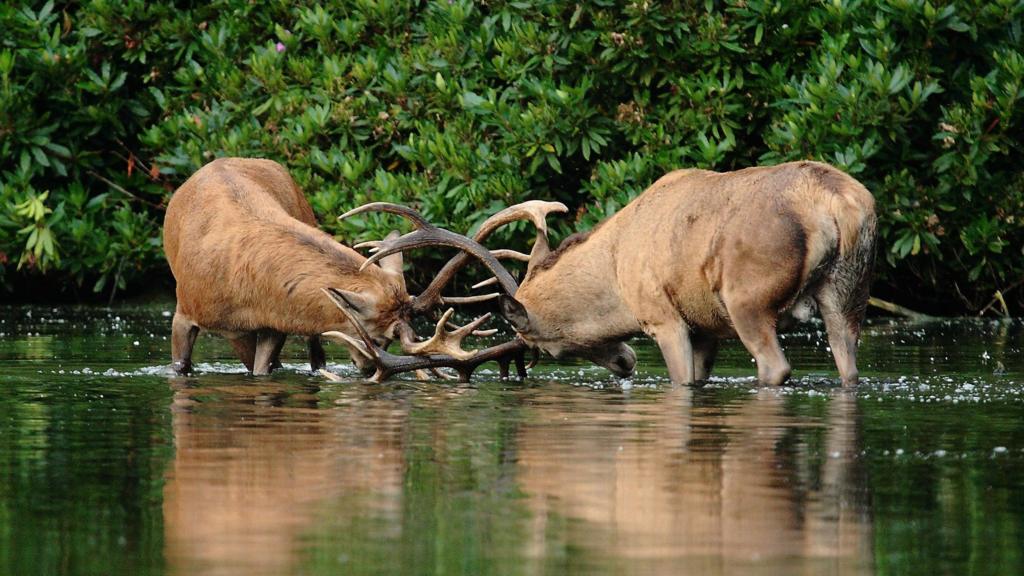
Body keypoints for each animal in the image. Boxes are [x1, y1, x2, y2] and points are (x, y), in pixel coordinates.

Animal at [163, 155, 532, 377]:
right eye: (378, 338)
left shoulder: (272, 327)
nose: (368, 369)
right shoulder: (185, 310)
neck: (247, 297)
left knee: (314, 353)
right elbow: (181, 365)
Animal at [348, 159, 876, 385]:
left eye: (546, 348)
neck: (615, 272)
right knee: (849, 366)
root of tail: (836, 206)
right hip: (850, 294)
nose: (626, 361)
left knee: (775, 366)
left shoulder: (661, 314)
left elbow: (683, 382)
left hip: (749, 295)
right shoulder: (705, 325)